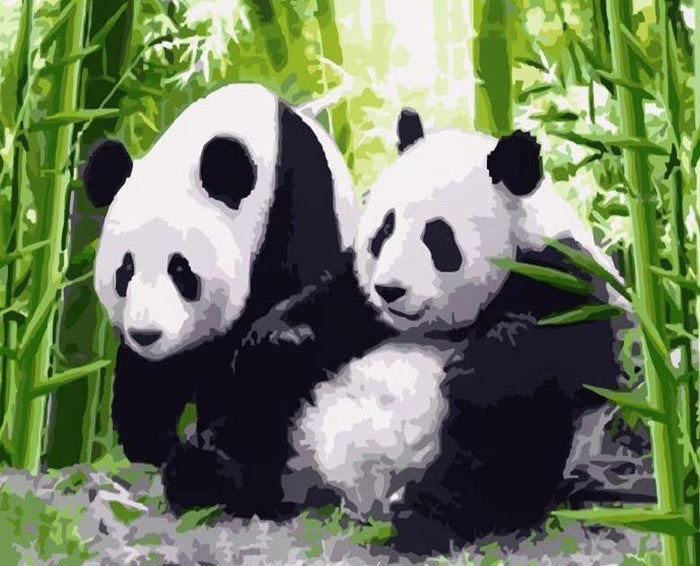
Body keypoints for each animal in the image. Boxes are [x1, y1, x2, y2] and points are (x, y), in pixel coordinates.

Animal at [82, 83, 358, 475]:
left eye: (181, 270)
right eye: (125, 271)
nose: (146, 334)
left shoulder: (298, 206)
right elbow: (153, 377)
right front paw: (155, 444)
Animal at [232, 109, 627, 552]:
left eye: (438, 238)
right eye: (384, 230)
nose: (390, 290)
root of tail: (349, 494)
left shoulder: (560, 273)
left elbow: (566, 358)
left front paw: (483, 368)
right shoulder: (356, 299)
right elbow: (325, 306)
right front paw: (283, 335)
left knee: (498, 446)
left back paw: (423, 522)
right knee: (260, 399)